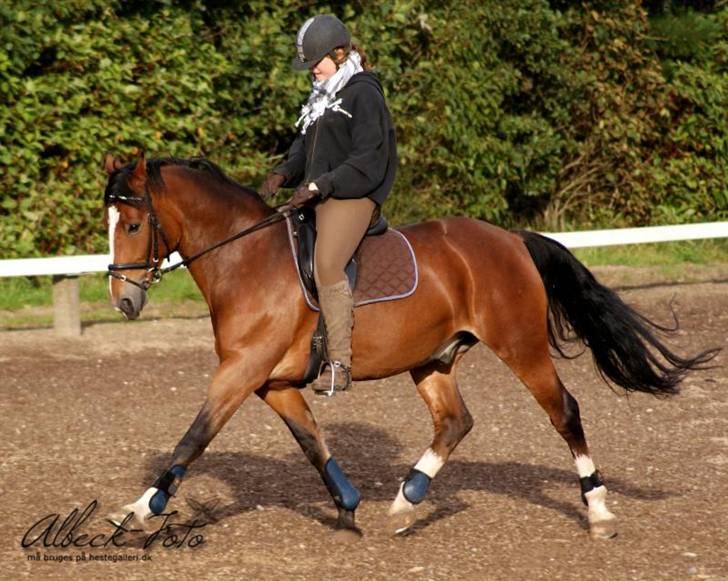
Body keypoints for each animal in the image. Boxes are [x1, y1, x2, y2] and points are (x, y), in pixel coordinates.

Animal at [102, 154, 716, 540]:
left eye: (131, 224)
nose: (122, 300)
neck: (247, 260)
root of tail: (510, 239)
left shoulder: (240, 373)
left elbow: (193, 438)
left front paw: (137, 512)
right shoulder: (271, 383)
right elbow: (312, 443)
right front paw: (349, 510)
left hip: (520, 347)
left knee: (564, 411)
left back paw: (599, 512)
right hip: (433, 359)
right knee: (455, 421)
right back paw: (405, 501)